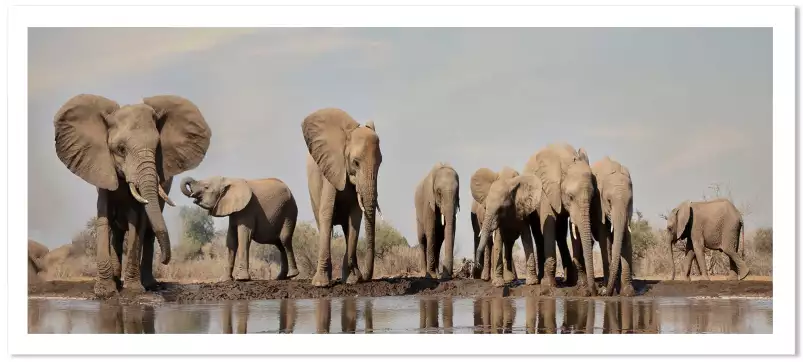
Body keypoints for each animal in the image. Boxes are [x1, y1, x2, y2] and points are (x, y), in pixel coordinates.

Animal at [55, 93, 215, 296]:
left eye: (157, 148)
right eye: (121, 149)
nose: (165, 260)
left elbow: (137, 222)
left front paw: (133, 290)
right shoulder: (102, 171)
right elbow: (104, 219)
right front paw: (105, 291)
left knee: (148, 230)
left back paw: (149, 284)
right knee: (117, 232)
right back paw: (117, 281)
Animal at [302, 107, 384, 286]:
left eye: (380, 163)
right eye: (356, 162)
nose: (365, 278)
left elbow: (355, 217)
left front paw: (352, 280)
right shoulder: (331, 169)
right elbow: (326, 213)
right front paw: (321, 284)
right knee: (322, 222)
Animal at [528, 143, 596, 296]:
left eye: (592, 197)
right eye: (570, 197)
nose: (594, 292)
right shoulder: (547, 189)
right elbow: (549, 223)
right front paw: (548, 286)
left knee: (560, 233)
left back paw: (569, 280)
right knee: (539, 234)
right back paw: (541, 279)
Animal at [592, 157, 636, 296]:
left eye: (630, 202)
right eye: (609, 201)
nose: (602, 292)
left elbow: (626, 238)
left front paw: (628, 293)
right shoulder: (598, 206)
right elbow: (604, 240)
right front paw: (608, 290)